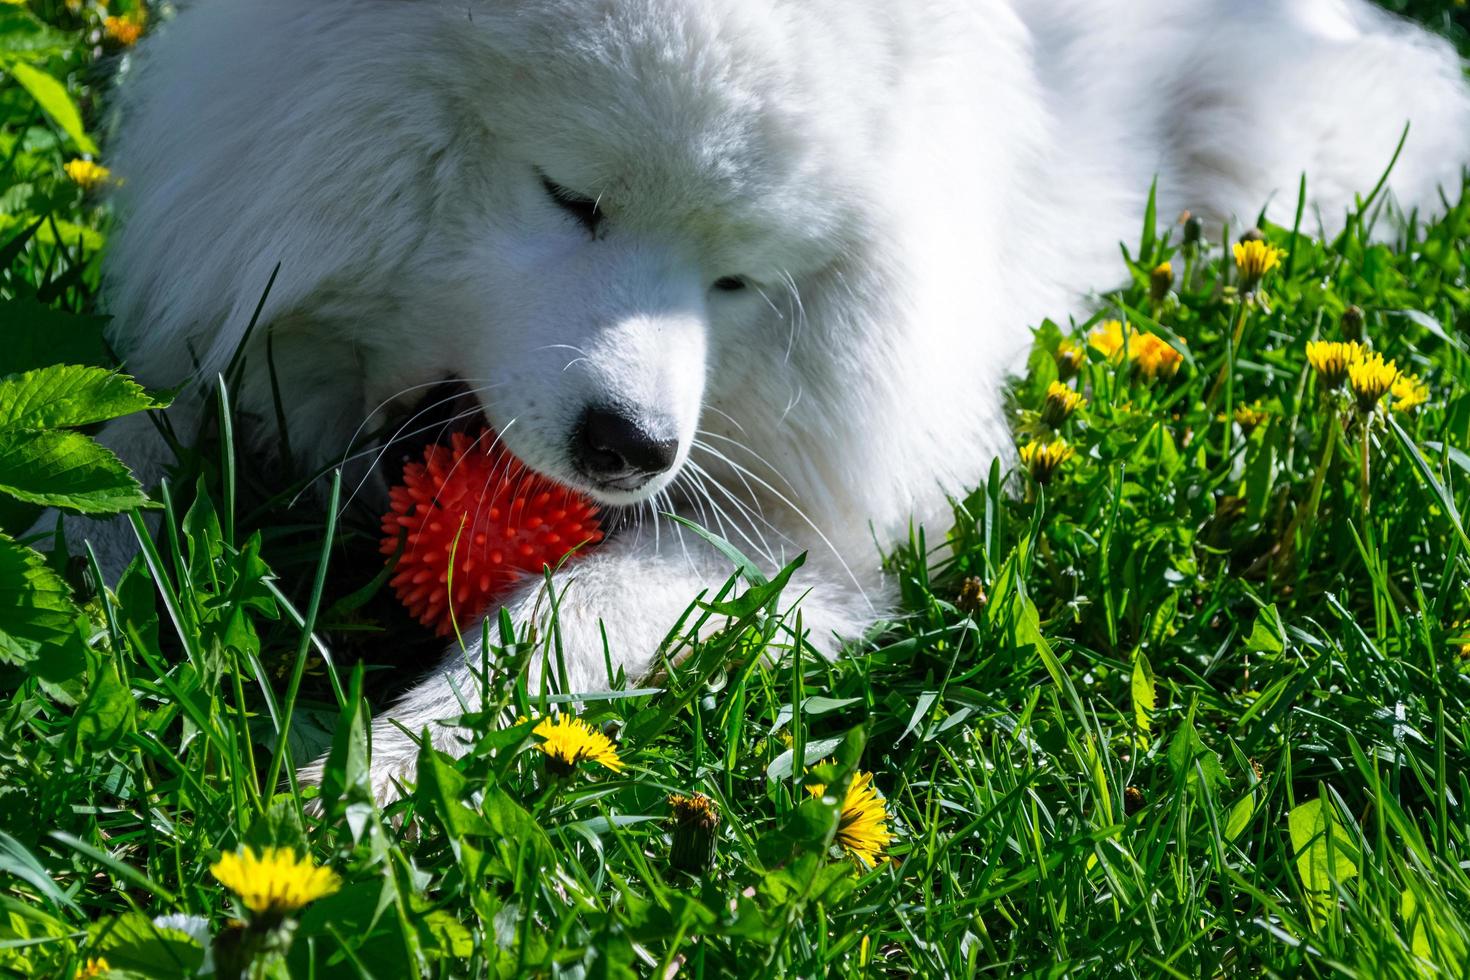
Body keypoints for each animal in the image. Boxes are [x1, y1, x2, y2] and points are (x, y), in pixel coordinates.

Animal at [91, 0, 1470, 799]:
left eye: (738, 278)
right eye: (573, 196)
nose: (632, 447)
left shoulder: (789, 535)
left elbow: (564, 615)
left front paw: (385, 761)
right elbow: (118, 442)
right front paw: (95, 574)